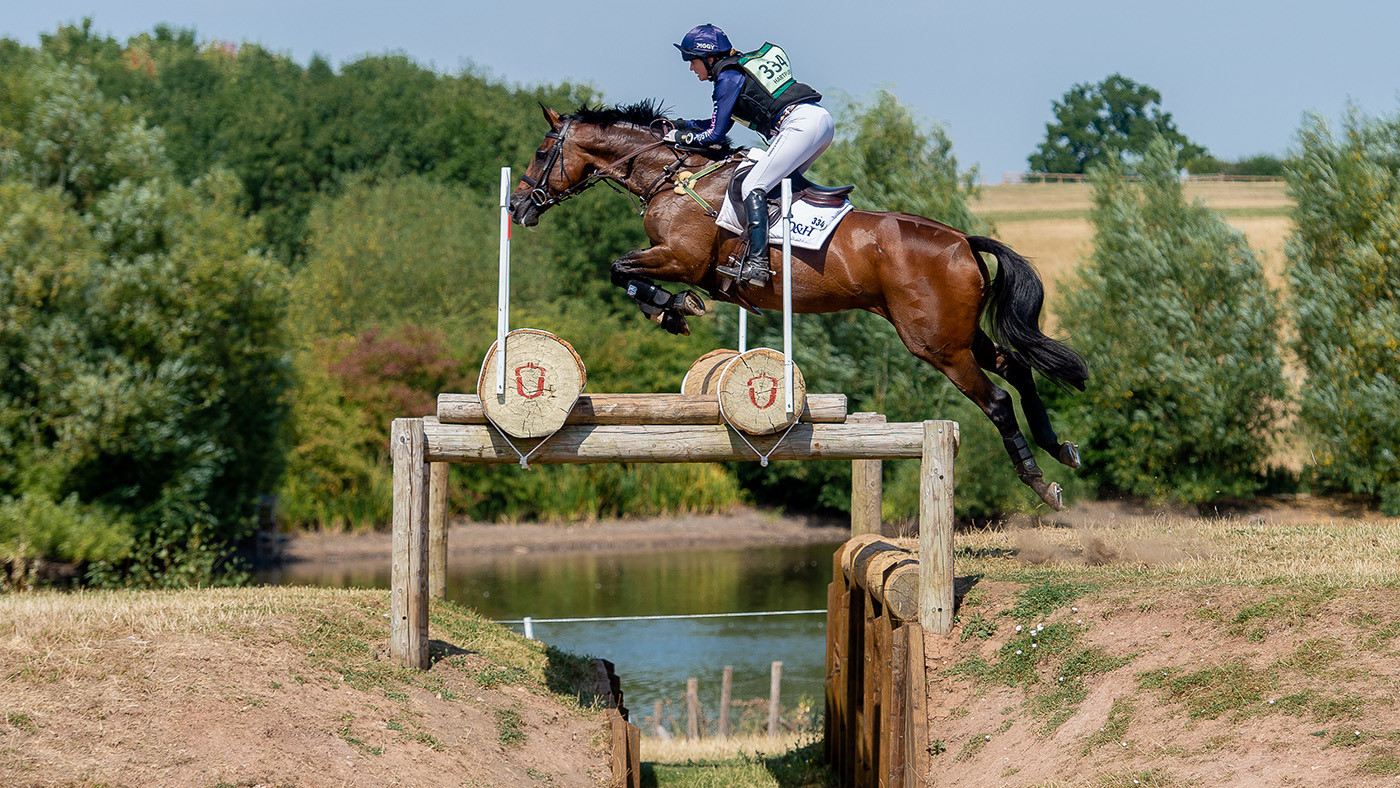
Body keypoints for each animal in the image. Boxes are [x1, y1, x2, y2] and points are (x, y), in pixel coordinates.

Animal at [509, 100, 1086, 512]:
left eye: (540, 153)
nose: (516, 207)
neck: (672, 176)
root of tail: (963, 240)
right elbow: (622, 272)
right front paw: (672, 310)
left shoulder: (680, 258)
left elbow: (620, 269)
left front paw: (672, 309)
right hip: (958, 333)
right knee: (1016, 367)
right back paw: (1060, 448)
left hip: (936, 343)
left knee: (998, 400)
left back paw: (1040, 483)